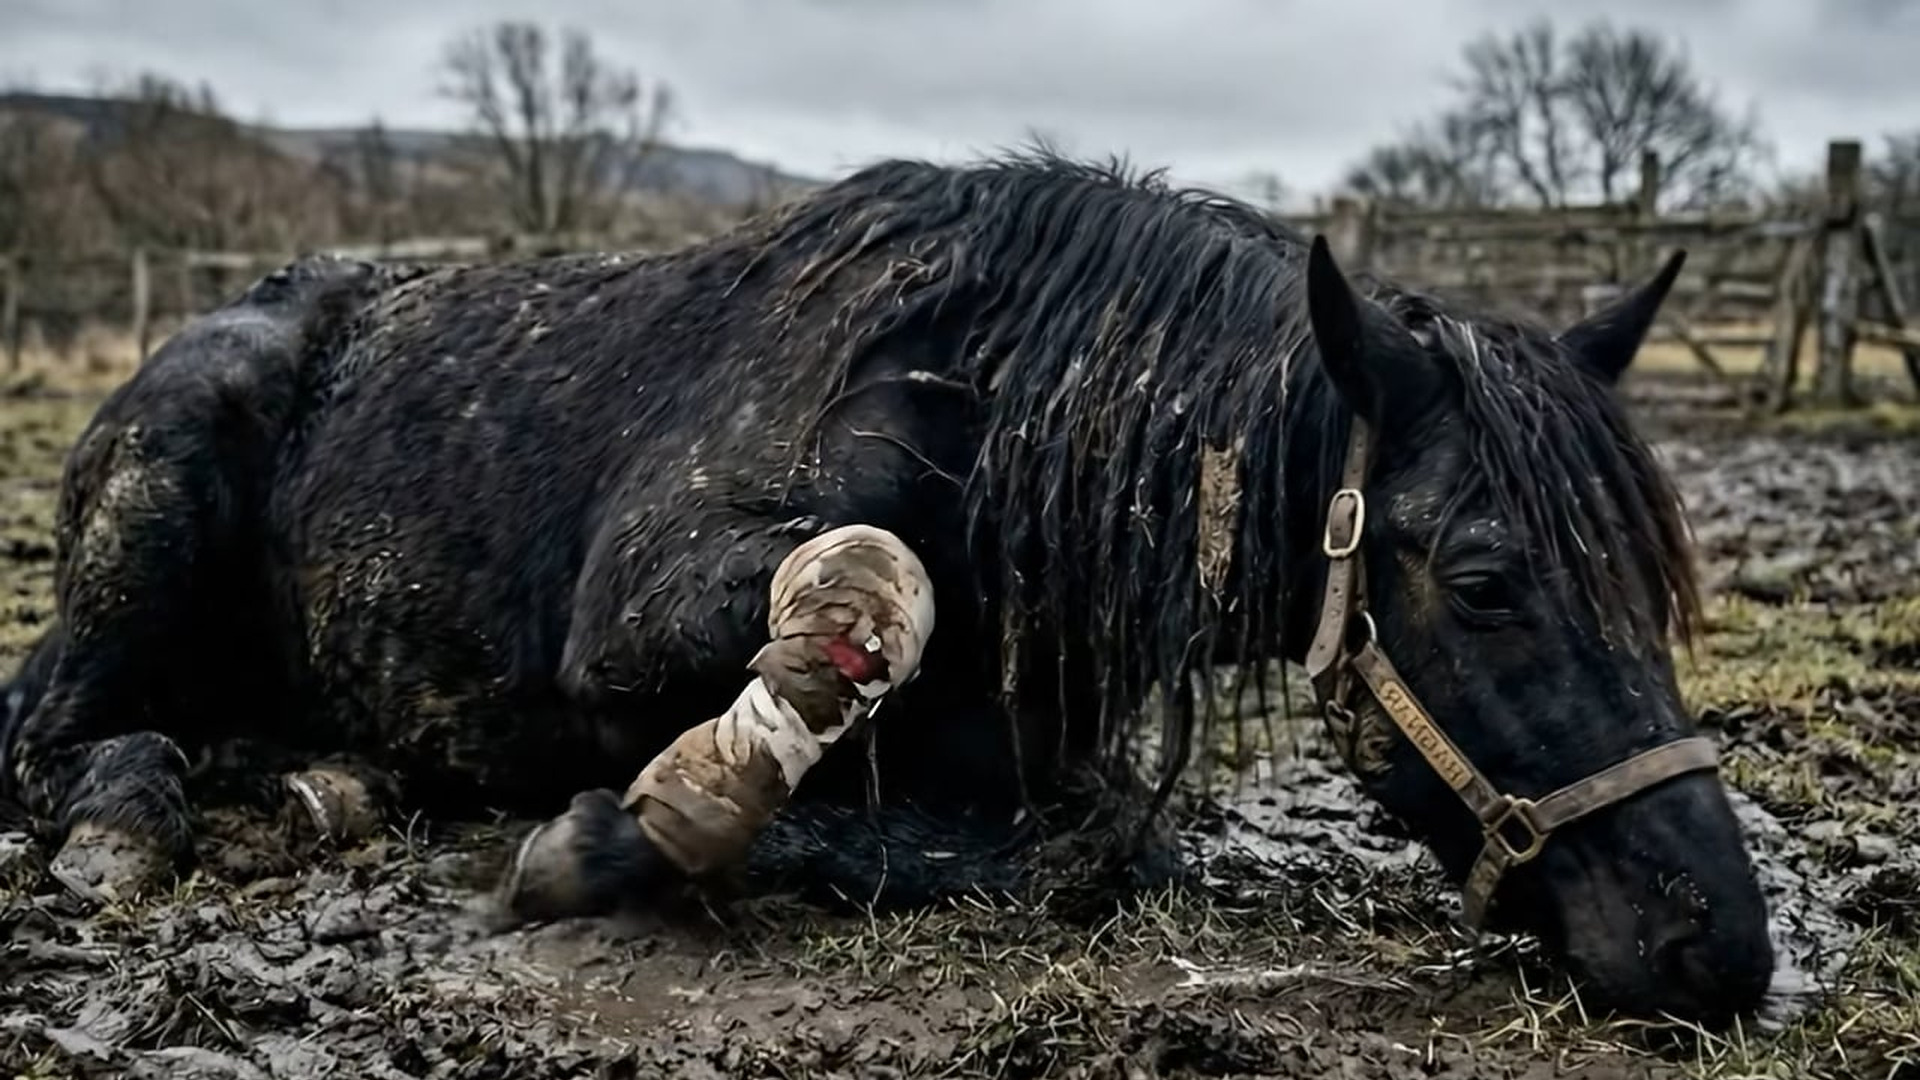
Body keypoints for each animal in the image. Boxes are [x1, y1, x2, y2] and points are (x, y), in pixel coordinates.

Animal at [0, 151, 1772, 1025]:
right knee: (57, 726)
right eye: (1483, 579)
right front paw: (626, 829)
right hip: (157, 506)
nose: (1723, 950)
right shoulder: (642, 604)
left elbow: (1088, 835)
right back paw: (127, 821)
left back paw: (323, 783)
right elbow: (886, 598)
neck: (989, 405)